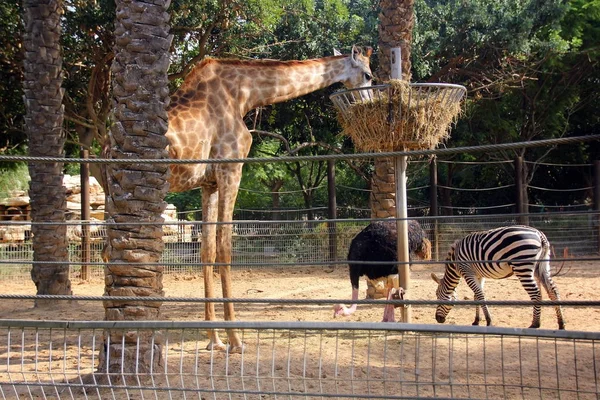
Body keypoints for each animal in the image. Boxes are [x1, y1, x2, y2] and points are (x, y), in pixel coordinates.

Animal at [166, 47, 372, 352]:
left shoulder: (208, 183)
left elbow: (207, 251)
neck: (243, 95)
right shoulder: (231, 169)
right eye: (368, 74)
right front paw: (235, 340)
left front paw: (214, 340)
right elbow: (226, 248)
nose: (369, 103)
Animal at [428, 227, 564, 330]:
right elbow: (477, 296)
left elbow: (480, 295)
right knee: (553, 290)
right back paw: (561, 323)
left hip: (522, 266)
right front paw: (476, 321)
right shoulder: (478, 275)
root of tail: (539, 234)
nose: (438, 319)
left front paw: (489, 321)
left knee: (536, 293)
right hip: (541, 266)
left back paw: (535, 324)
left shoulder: (467, 272)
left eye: (437, 295)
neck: (455, 262)